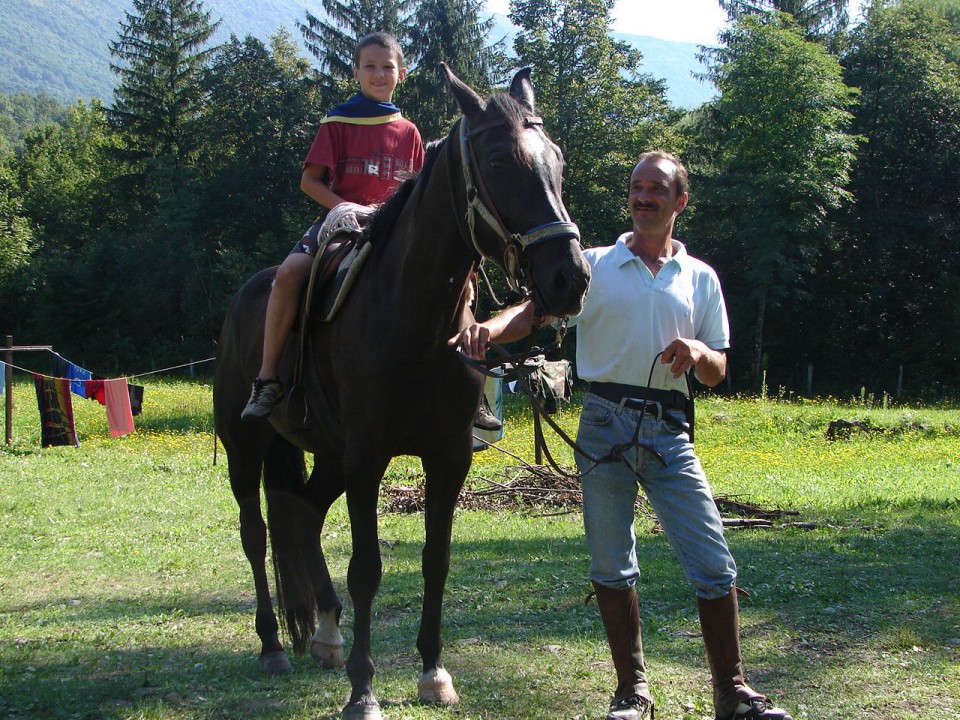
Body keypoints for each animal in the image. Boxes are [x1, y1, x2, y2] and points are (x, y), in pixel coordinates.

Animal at [214, 64, 588, 716]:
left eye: (558, 161)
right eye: (497, 161)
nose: (569, 276)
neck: (414, 318)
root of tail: (243, 300)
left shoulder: (448, 456)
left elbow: (436, 560)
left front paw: (434, 672)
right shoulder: (368, 458)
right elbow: (366, 567)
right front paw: (363, 690)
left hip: (329, 455)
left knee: (300, 516)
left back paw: (326, 633)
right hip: (247, 446)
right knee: (257, 534)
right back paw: (273, 645)